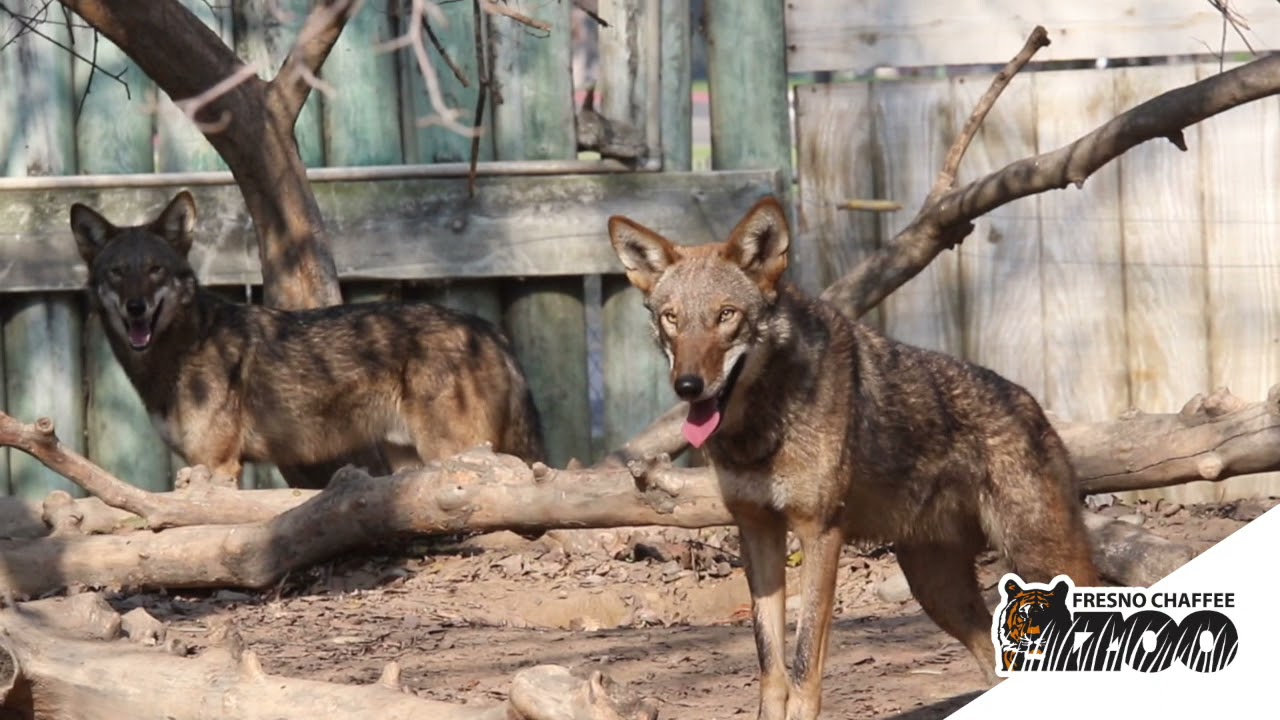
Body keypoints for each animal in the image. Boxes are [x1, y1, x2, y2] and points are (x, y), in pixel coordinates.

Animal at [71, 191, 544, 489]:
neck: (184, 348)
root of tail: (490, 331)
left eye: (155, 271)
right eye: (117, 273)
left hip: (452, 453)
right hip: (409, 459)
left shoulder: (218, 465)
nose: (136, 308)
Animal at [608, 197, 1098, 720]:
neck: (762, 429)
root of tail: (1034, 405)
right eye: (672, 319)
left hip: (1038, 562)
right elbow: (770, 668)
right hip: (938, 589)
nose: (688, 386)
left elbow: (804, 666)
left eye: (726, 315)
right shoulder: (757, 532)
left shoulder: (820, 533)